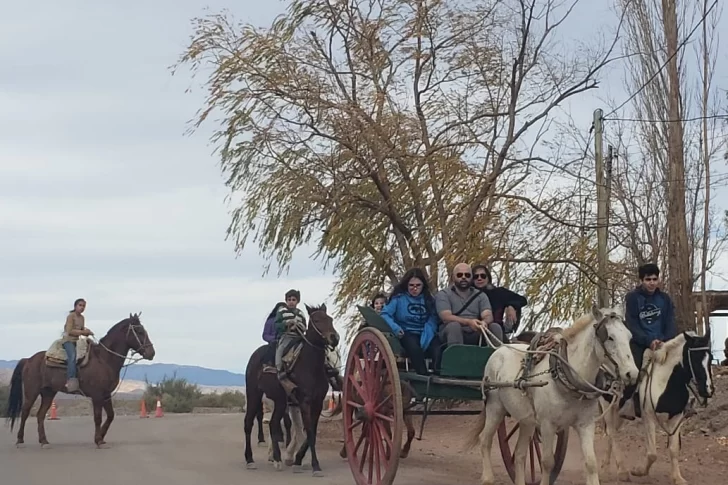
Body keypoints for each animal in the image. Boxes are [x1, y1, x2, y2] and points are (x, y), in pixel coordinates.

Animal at [5, 314, 154, 446]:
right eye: (139, 331)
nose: (151, 353)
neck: (104, 359)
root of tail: (28, 360)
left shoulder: (106, 394)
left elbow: (111, 415)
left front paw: (101, 437)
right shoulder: (97, 395)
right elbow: (98, 417)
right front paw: (98, 440)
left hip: (48, 393)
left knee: (40, 415)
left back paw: (44, 441)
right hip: (32, 392)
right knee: (25, 412)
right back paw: (20, 440)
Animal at [242, 304, 338, 474]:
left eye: (330, 319)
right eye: (316, 320)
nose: (334, 338)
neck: (310, 366)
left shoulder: (317, 403)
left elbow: (311, 431)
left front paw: (298, 460)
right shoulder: (304, 401)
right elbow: (309, 431)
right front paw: (314, 465)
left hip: (280, 401)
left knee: (273, 424)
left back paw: (277, 459)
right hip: (254, 394)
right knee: (248, 423)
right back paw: (250, 459)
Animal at [466, 304, 636, 484]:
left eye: (629, 336)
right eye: (610, 337)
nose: (632, 373)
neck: (567, 378)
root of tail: (500, 349)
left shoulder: (585, 424)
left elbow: (591, 463)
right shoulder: (548, 425)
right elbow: (547, 463)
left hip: (526, 421)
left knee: (519, 454)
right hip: (495, 407)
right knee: (485, 440)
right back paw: (487, 478)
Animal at [600, 328, 712, 484]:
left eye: (711, 358)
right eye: (694, 359)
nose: (707, 390)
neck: (666, 382)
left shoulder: (676, 419)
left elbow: (674, 450)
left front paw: (677, 478)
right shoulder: (648, 417)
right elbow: (652, 453)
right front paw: (639, 471)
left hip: (619, 413)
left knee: (612, 434)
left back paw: (605, 466)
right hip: (607, 406)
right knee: (612, 433)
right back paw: (622, 471)